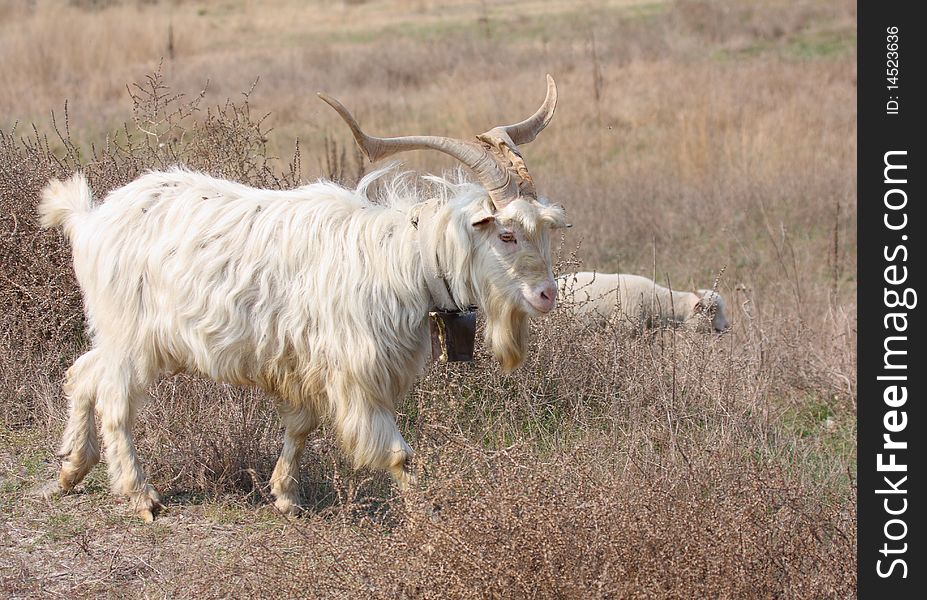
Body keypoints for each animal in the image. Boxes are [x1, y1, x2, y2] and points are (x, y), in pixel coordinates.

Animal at [38, 76, 564, 520]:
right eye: (507, 234)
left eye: (544, 229)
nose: (546, 295)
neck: (403, 259)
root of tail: (89, 220)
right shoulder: (357, 372)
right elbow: (398, 454)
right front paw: (428, 522)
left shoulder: (304, 363)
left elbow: (300, 427)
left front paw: (285, 496)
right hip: (131, 336)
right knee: (114, 401)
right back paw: (140, 496)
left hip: (124, 333)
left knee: (82, 374)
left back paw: (70, 470)